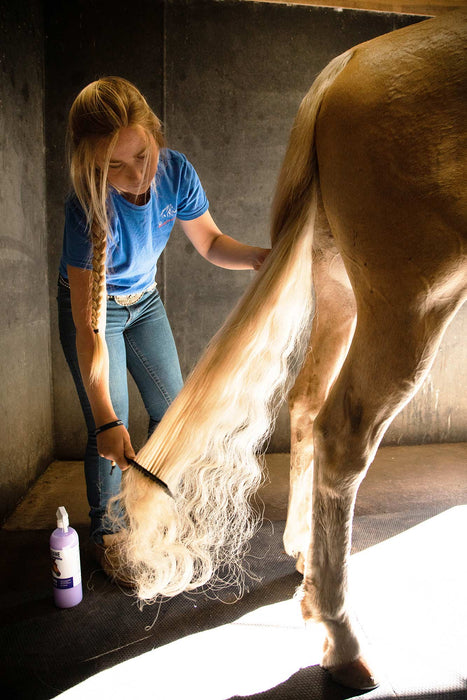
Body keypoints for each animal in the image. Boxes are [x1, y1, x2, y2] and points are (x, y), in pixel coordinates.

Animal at [111, 9, 466, 688]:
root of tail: (346, 69)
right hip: (413, 301)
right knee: (342, 433)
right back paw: (341, 639)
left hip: (342, 290)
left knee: (306, 404)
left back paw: (305, 560)